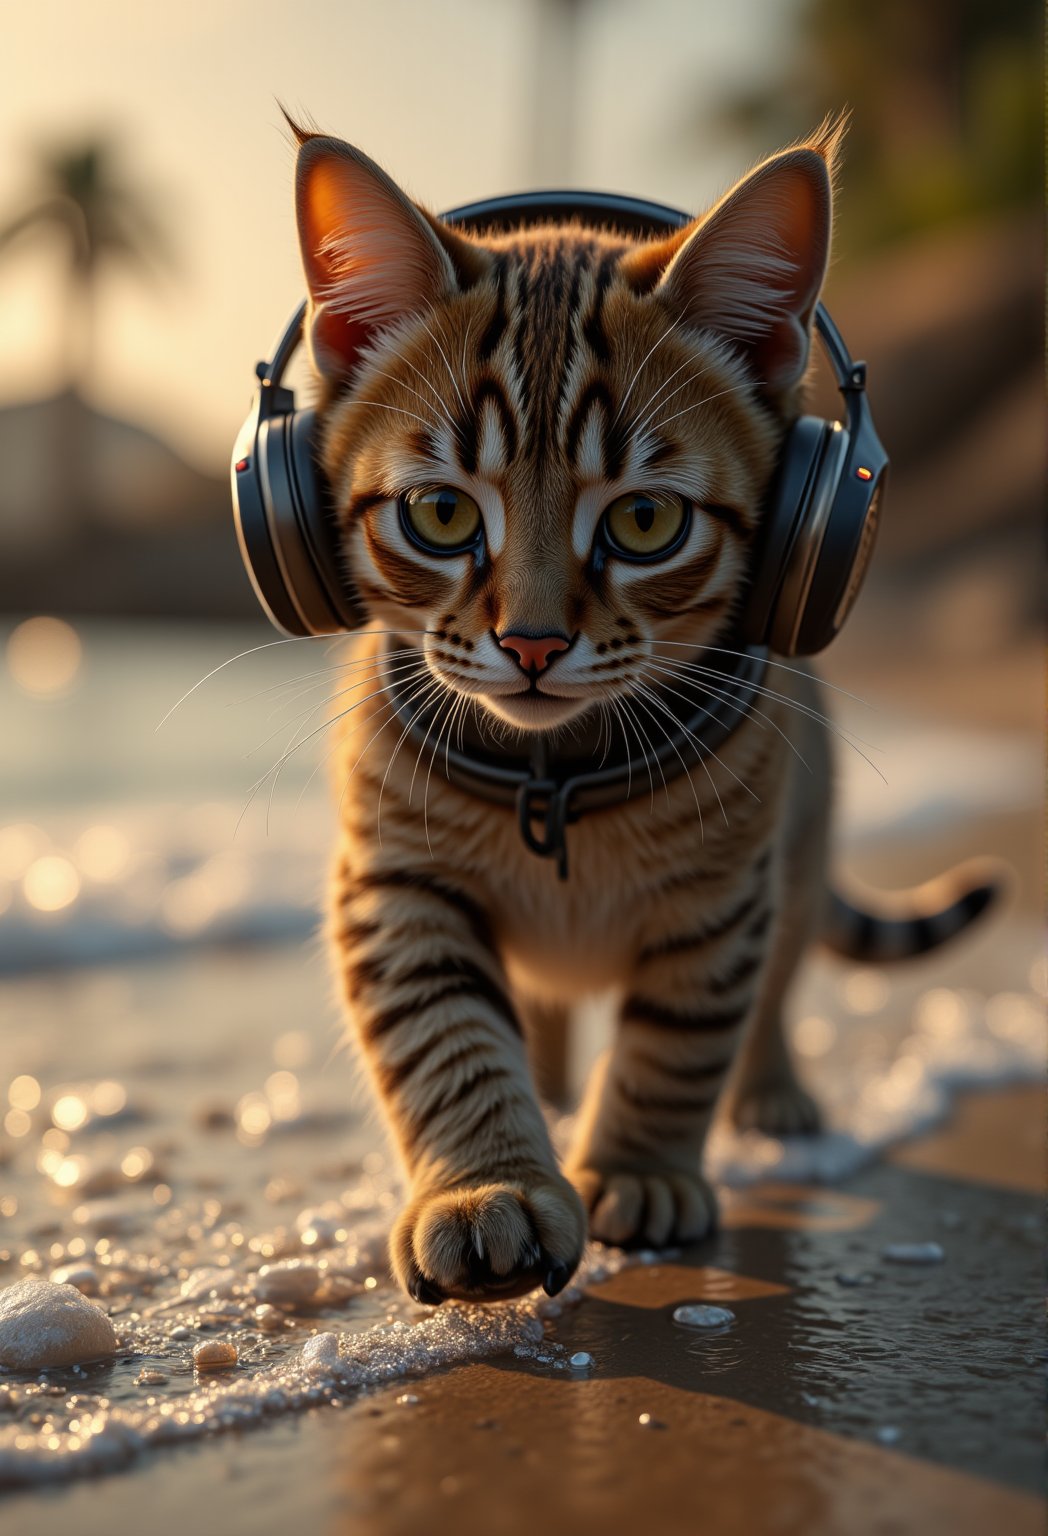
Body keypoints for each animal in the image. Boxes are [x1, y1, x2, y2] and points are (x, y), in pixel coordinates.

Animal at [279, 113, 995, 1302]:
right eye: (440, 515)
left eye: (646, 522)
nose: (530, 643)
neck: (554, 773)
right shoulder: (391, 883)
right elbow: (447, 1038)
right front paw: (490, 1183)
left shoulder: (722, 898)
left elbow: (679, 1038)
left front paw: (636, 1169)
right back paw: (558, 1092)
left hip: (799, 849)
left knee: (775, 992)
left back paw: (770, 1096)